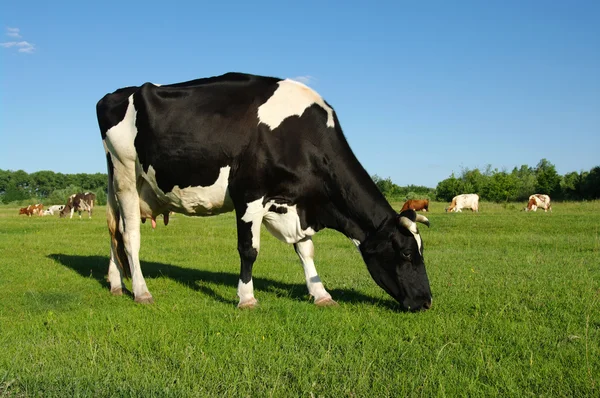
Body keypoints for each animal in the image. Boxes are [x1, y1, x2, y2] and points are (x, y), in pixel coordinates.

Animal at [96, 73, 434, 312]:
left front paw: (321, 294)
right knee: (129, 235)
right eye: (406, 252)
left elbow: (306, 250)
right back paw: (141, 291)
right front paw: (246, 298)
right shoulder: (249, 194)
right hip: (125, 172)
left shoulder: (294, 203)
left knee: (113, 230)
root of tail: (117, 93)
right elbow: (249, 250)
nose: (427, 301)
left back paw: (116, 283)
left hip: (116, 181)